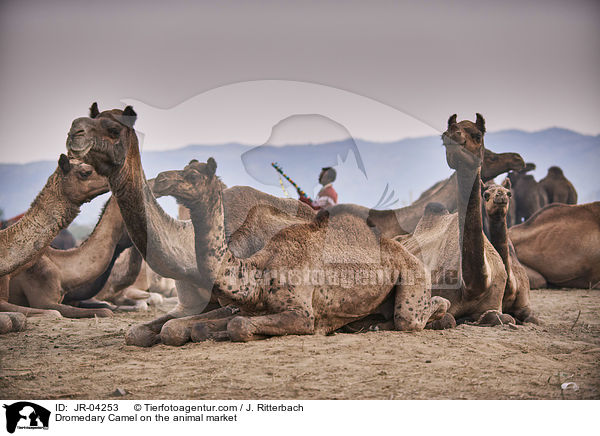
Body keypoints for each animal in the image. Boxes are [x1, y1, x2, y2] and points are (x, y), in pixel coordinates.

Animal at [135, 158, 446, 344]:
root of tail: (408, 251)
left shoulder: (301, 313)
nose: (160, 179)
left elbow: (238, 325)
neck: (256, 270)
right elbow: (215, 324)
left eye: (192, 174)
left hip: (413, 276)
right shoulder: (244, 305)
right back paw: (374, 324)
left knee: (417, 314)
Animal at [482, 178, 540, 324]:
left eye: (509, 193)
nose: (501, 195)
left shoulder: (525, 302)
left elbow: (532, 318)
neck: (510, 289)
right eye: (485, 195)